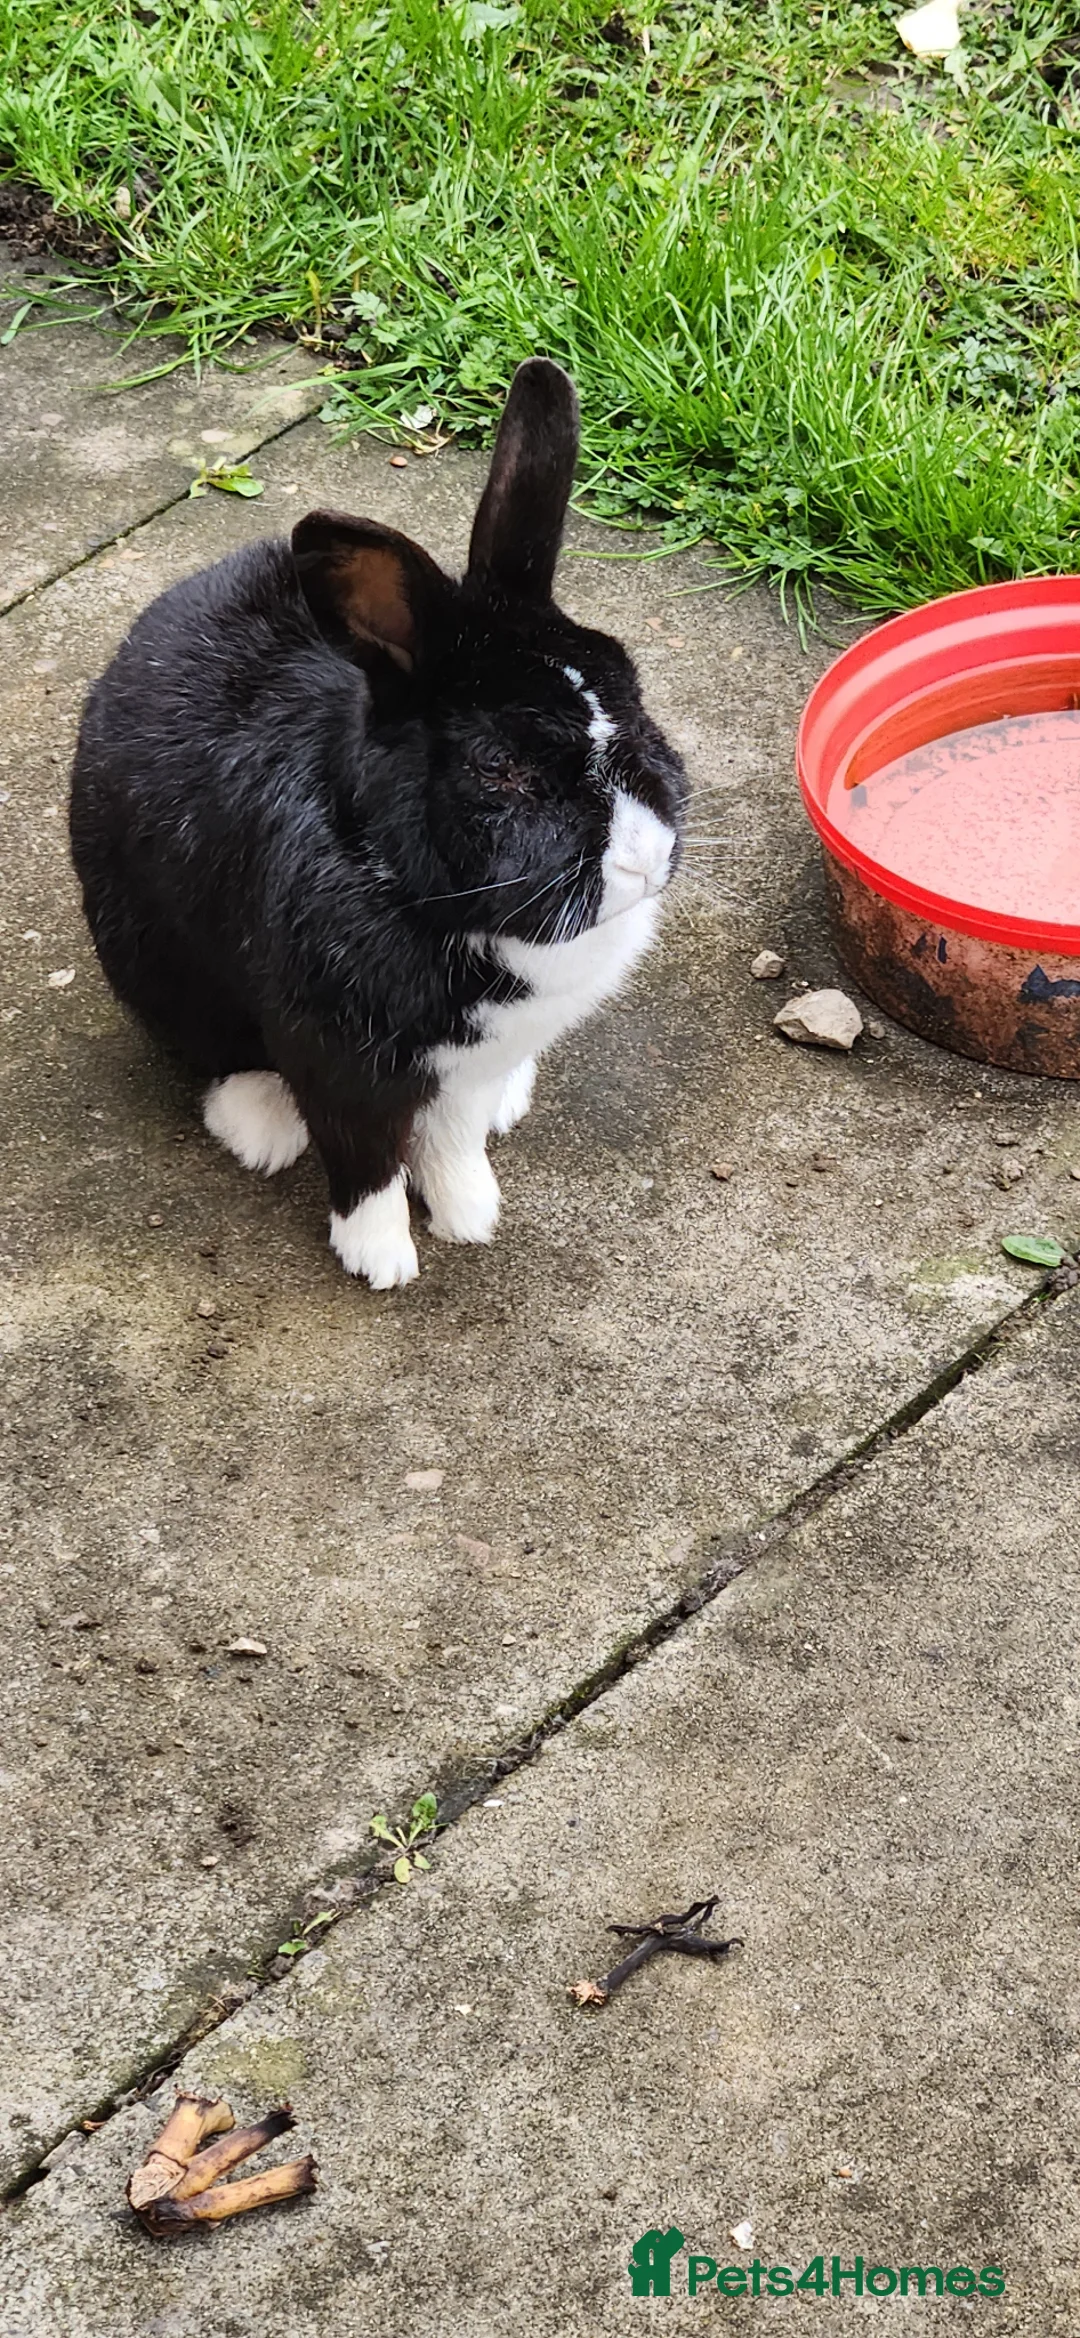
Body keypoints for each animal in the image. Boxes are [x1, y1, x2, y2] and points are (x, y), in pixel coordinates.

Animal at [69, 359, 687, 1288]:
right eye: (497, 767)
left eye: (636, 699)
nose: (646, 860)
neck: (429, 900)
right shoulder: (337, 1061)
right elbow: (364, 1160)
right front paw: (382, 1259)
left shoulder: (468, 1066)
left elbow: (453, 1138)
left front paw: (471, 1216)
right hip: (148, 958)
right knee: (211, 1053)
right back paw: (261, 1124)